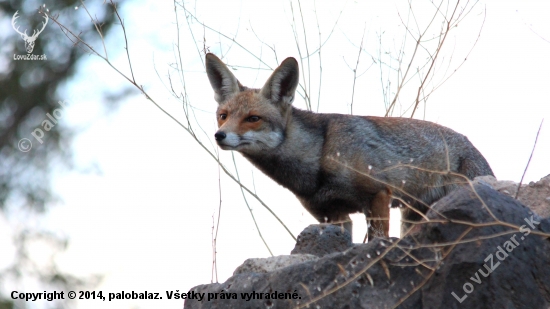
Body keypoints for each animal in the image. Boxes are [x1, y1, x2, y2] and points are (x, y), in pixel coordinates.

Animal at [206, 53, 496, 239]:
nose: (219, 135)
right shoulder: (333, 216)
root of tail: (473, 145)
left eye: (252, 118)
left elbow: (378, 240)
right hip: (412, 217)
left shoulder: (378, 195)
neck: (320, 155)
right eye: (223, 116)